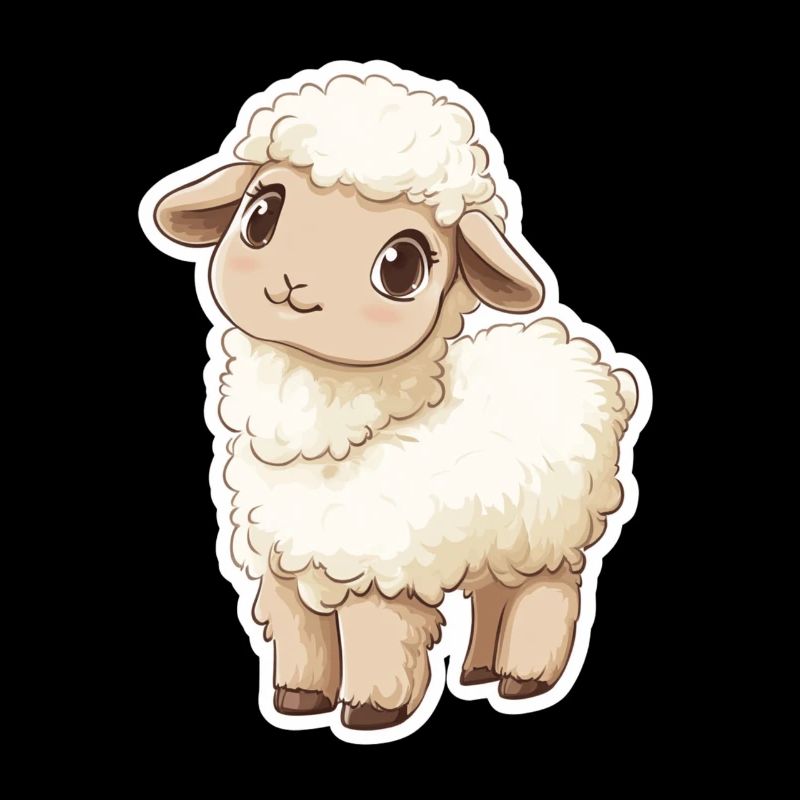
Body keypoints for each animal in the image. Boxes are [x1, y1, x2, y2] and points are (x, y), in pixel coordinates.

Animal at [139, 61, 651, 743]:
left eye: (402, 266)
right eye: (261, 214)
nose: (293, 285)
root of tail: (600, 371)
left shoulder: (380, 566)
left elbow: (378, 641)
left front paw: (372, 713)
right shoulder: (290, 564)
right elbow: (303, 641)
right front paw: (297, 701)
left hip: (550, 536)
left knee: (547, 599)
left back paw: (524, 680)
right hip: (501, 539)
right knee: (493, 595)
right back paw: (478, 672)